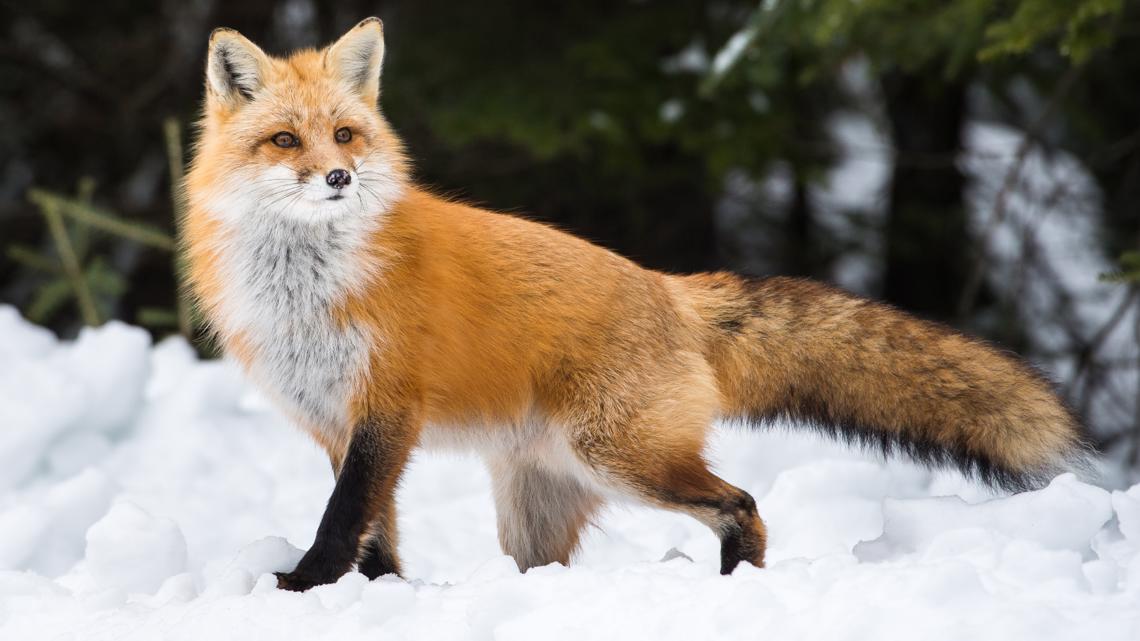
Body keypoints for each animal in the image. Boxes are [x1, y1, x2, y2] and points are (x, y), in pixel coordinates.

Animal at [185, 18, 1095, 591]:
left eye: (344, 135)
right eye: (285, 141)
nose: (339, 176)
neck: (308, 287)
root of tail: (669, 287)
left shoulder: (386, 409)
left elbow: (345, 518)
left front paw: (305, 585)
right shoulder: (335, 420)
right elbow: (375, 532)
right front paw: (378, 595)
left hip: (621, 456)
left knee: (743, 505)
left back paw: (736, 590)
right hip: (539, 504)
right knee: (557, 565)